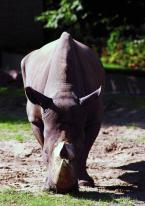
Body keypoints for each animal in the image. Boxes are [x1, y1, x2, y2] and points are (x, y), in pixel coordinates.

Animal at [21, 32, 105, 193]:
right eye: (46, 153)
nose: (63, 191)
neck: (64, 91)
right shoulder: (35, 119)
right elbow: (43, 143)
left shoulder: (94, 118)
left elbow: (86, 150)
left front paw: (85, 182)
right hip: (24, 64)